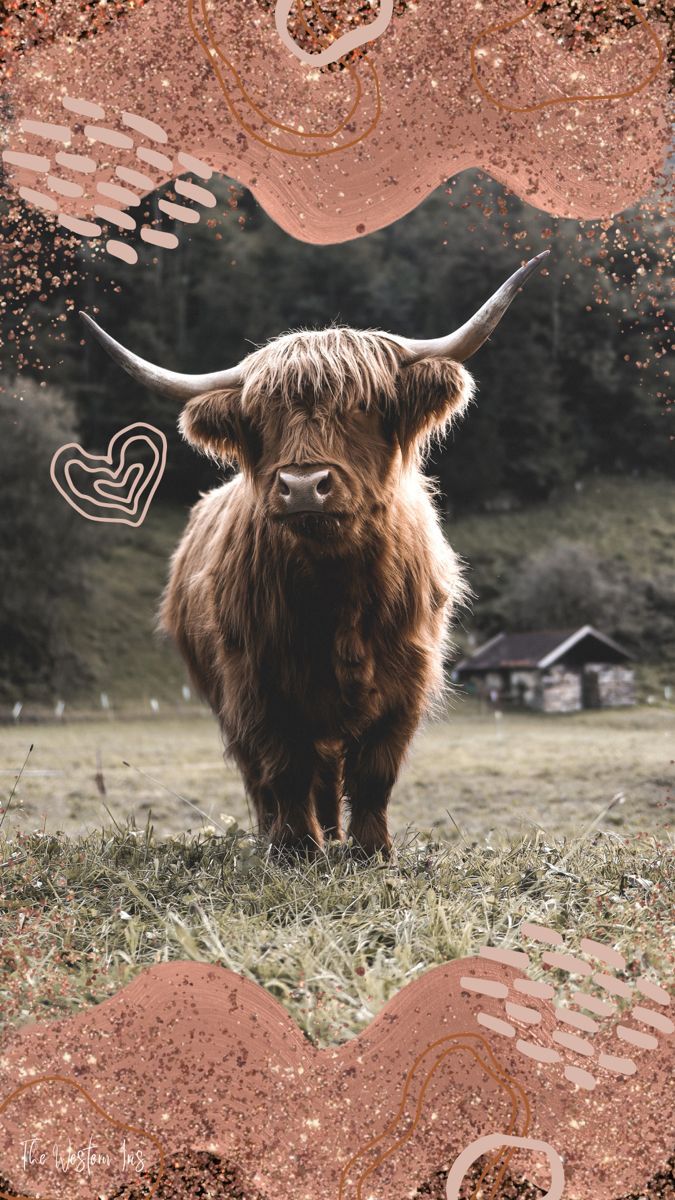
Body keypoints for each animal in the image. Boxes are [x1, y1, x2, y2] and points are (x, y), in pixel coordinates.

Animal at [82, 251, 548, 857]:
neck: (336, 587)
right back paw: (280, 837)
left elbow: (375, 773)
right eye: (261, 419)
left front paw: (372, 850)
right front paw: (297, 849)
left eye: (363, 407)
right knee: (267, 777)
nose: (303, 486)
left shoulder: (405, 685)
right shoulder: (258, 685)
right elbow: (285, 770)